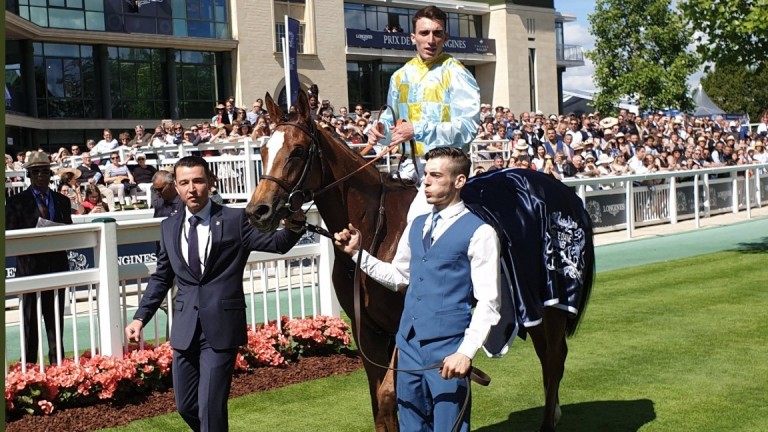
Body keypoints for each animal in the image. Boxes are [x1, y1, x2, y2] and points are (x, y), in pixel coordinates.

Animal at [246, 89, 592, 430]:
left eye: (297, 151)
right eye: (261, 150)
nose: (257, 210)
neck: (376, 229)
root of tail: (565, 193)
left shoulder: (404, 323)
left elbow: (389, 395)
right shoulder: (367, 329)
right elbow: (381, 406)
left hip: (548, 304)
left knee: (553, 361)